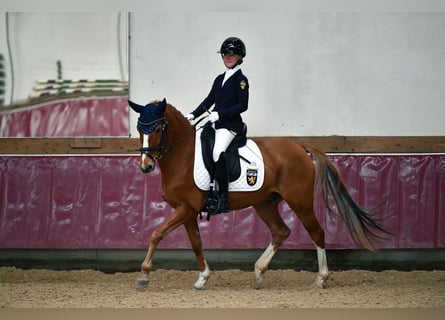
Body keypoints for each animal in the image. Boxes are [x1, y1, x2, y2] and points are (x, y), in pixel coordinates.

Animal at [126, 99, 390, 292]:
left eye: (157, 129)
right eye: (140, 129)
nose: (145, 166)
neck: (183, 155)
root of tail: (300, 148)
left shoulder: (186, 209)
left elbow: (156, 234)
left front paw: (143, 275)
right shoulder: (187, 211)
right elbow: (196, 243)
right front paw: (202, 278)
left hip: (300, 203)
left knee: (317, 232)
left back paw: (320, 279)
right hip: (265, 204)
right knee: (281, 232)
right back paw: (259, 272)